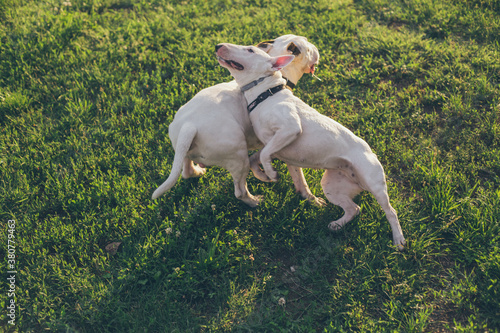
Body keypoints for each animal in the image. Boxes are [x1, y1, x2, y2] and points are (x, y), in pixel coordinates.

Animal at [151, 34, 324, 205]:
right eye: (308, 47)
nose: (218, 46)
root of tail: (189, 126)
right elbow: (298, 177)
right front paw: (312, 199)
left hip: (184, 148)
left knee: (186, 170)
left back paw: (198, 171)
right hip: (238, 157)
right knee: (240, 191)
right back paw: (256, 201)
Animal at [215, 42, 406, 249]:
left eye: (250, 50)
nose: (218, 45)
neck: (265, 94)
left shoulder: (290, 128)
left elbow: (264, 154)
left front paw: (271, 173)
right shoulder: (272, 143)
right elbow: (254, 158)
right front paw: (263, 175)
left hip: (375, 183)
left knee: (391, 211)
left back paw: (398, 239)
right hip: (332, 186)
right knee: (354, 208)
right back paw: (337, 225)